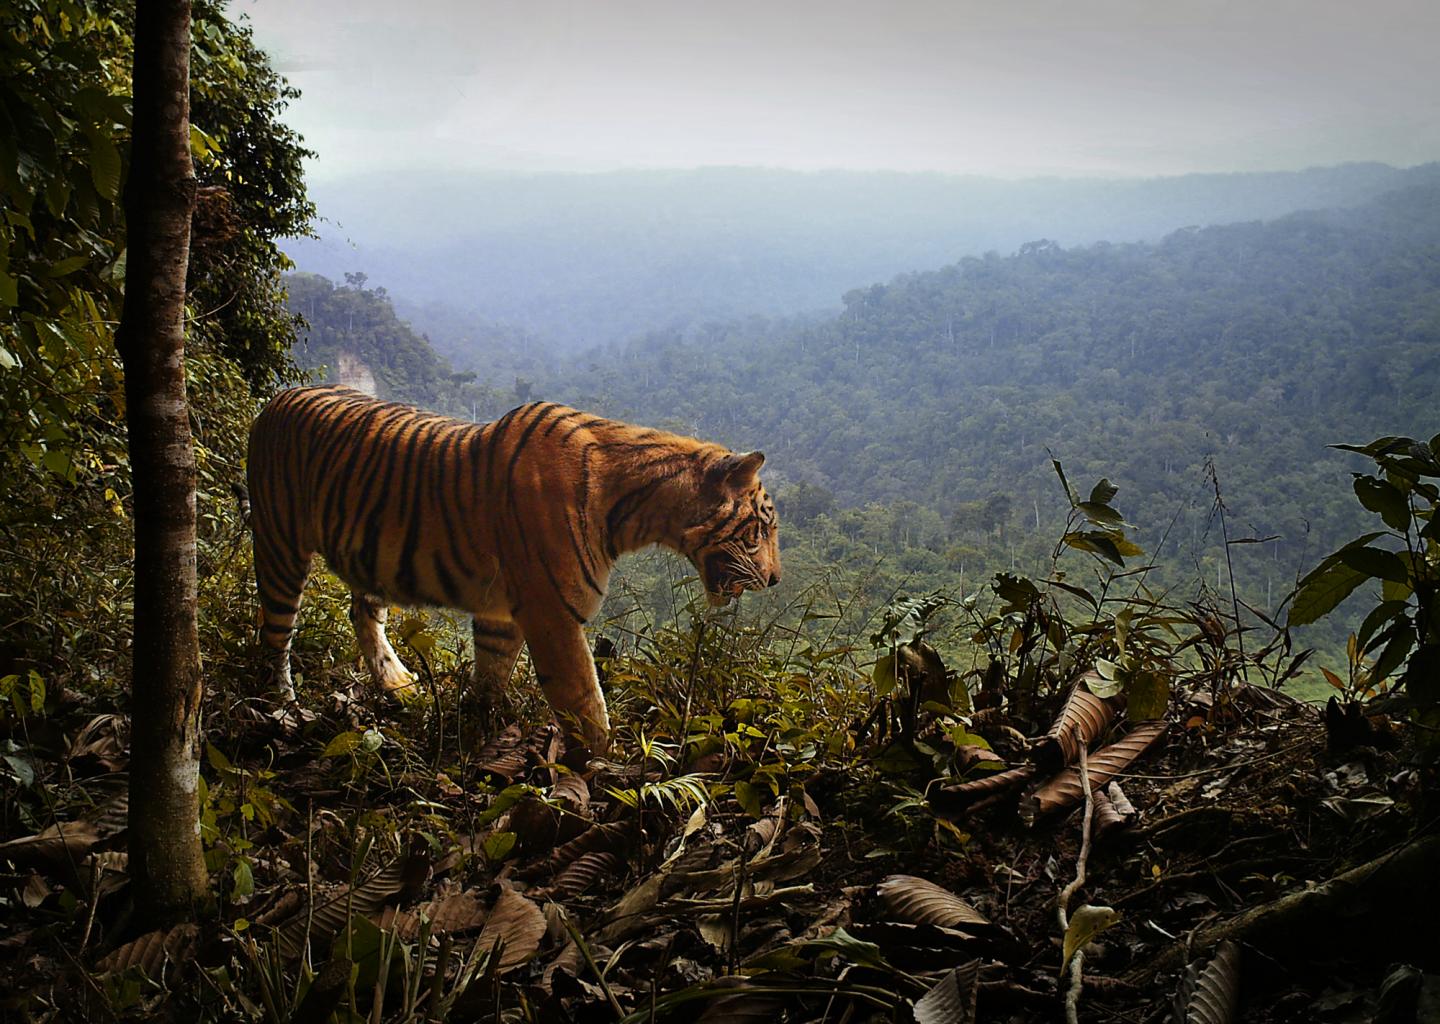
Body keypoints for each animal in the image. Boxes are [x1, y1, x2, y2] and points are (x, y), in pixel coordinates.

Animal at [246, 385, 781, 753]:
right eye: (762, 528)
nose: (776, 579)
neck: (637, 511)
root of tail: (276, 399)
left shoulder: (501, 613)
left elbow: (491, 674)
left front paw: (475, 731)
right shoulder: (553, 616)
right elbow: (585, 702)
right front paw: (610, 771)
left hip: (366, 560)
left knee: (361, 613)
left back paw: (398, 684)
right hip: (280, 548)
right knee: (273, 636)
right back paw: (282, 710)